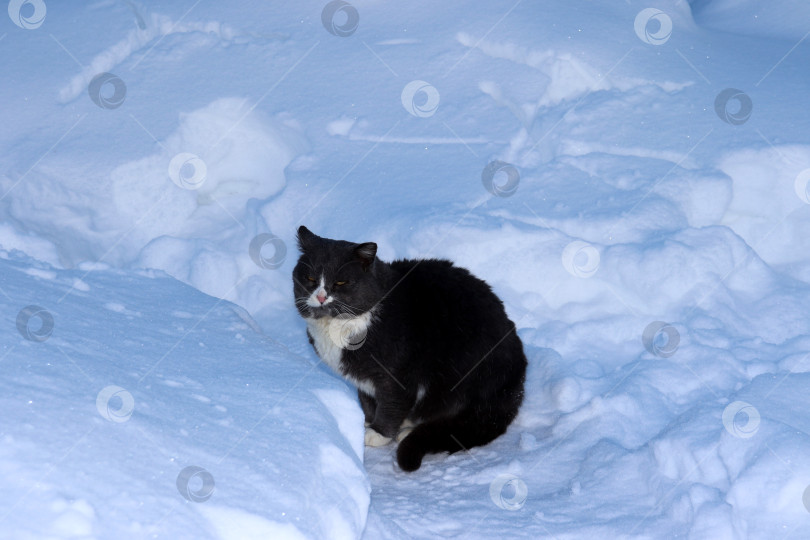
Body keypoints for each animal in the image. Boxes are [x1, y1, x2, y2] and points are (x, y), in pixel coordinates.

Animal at [290, 226, 524, 470]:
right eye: (310, 278)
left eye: (340, 283)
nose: (321, 296)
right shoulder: (363, 380)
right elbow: (367, 402)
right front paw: (368, 423)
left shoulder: (398, 374)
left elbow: (391, 403)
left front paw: (378, 433)